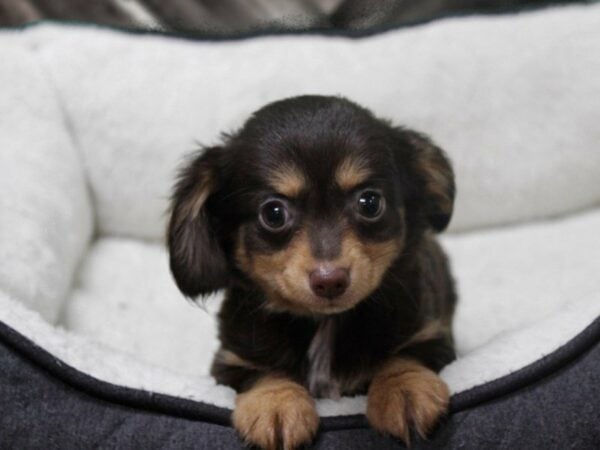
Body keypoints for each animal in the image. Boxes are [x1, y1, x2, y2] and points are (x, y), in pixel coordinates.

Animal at [166, 96, 458, 450]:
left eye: (370, 202)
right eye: (273, 213)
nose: (330, 281)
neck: (325, 323)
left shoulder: (433, 335)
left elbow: (403, 356)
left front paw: (403, 391)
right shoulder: (232, 361)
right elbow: (265, 371)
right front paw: (277, 406)